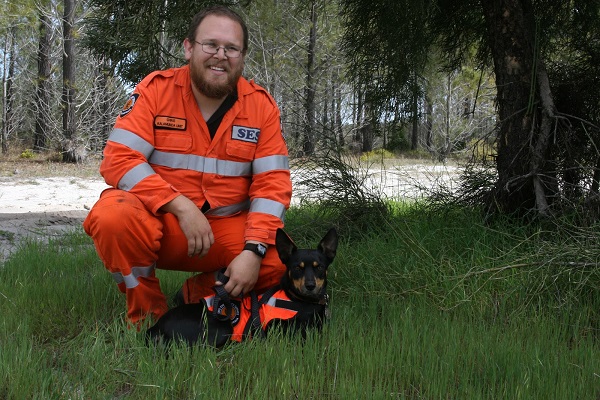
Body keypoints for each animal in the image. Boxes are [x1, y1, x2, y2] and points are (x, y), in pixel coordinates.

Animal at [145, 228, 338, 346]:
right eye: (297, 268)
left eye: (320, 267)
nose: (310, 286)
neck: (301, 301)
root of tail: (157, 327)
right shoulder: (279, 329)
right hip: (222, 329)